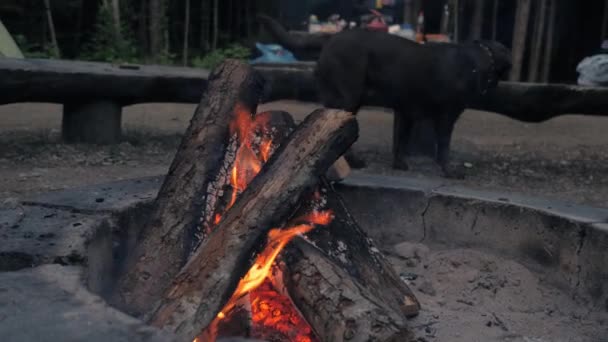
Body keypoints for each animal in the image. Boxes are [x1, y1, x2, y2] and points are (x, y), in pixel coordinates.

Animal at [258, 14, 512, 178]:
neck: (480, 59)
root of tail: (331, 38)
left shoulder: (406, 111)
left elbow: (401, 140)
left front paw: (399, 164)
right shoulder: (447, 116)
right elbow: (443, 147)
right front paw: (449, 171)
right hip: (349, 96)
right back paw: (353, 161)